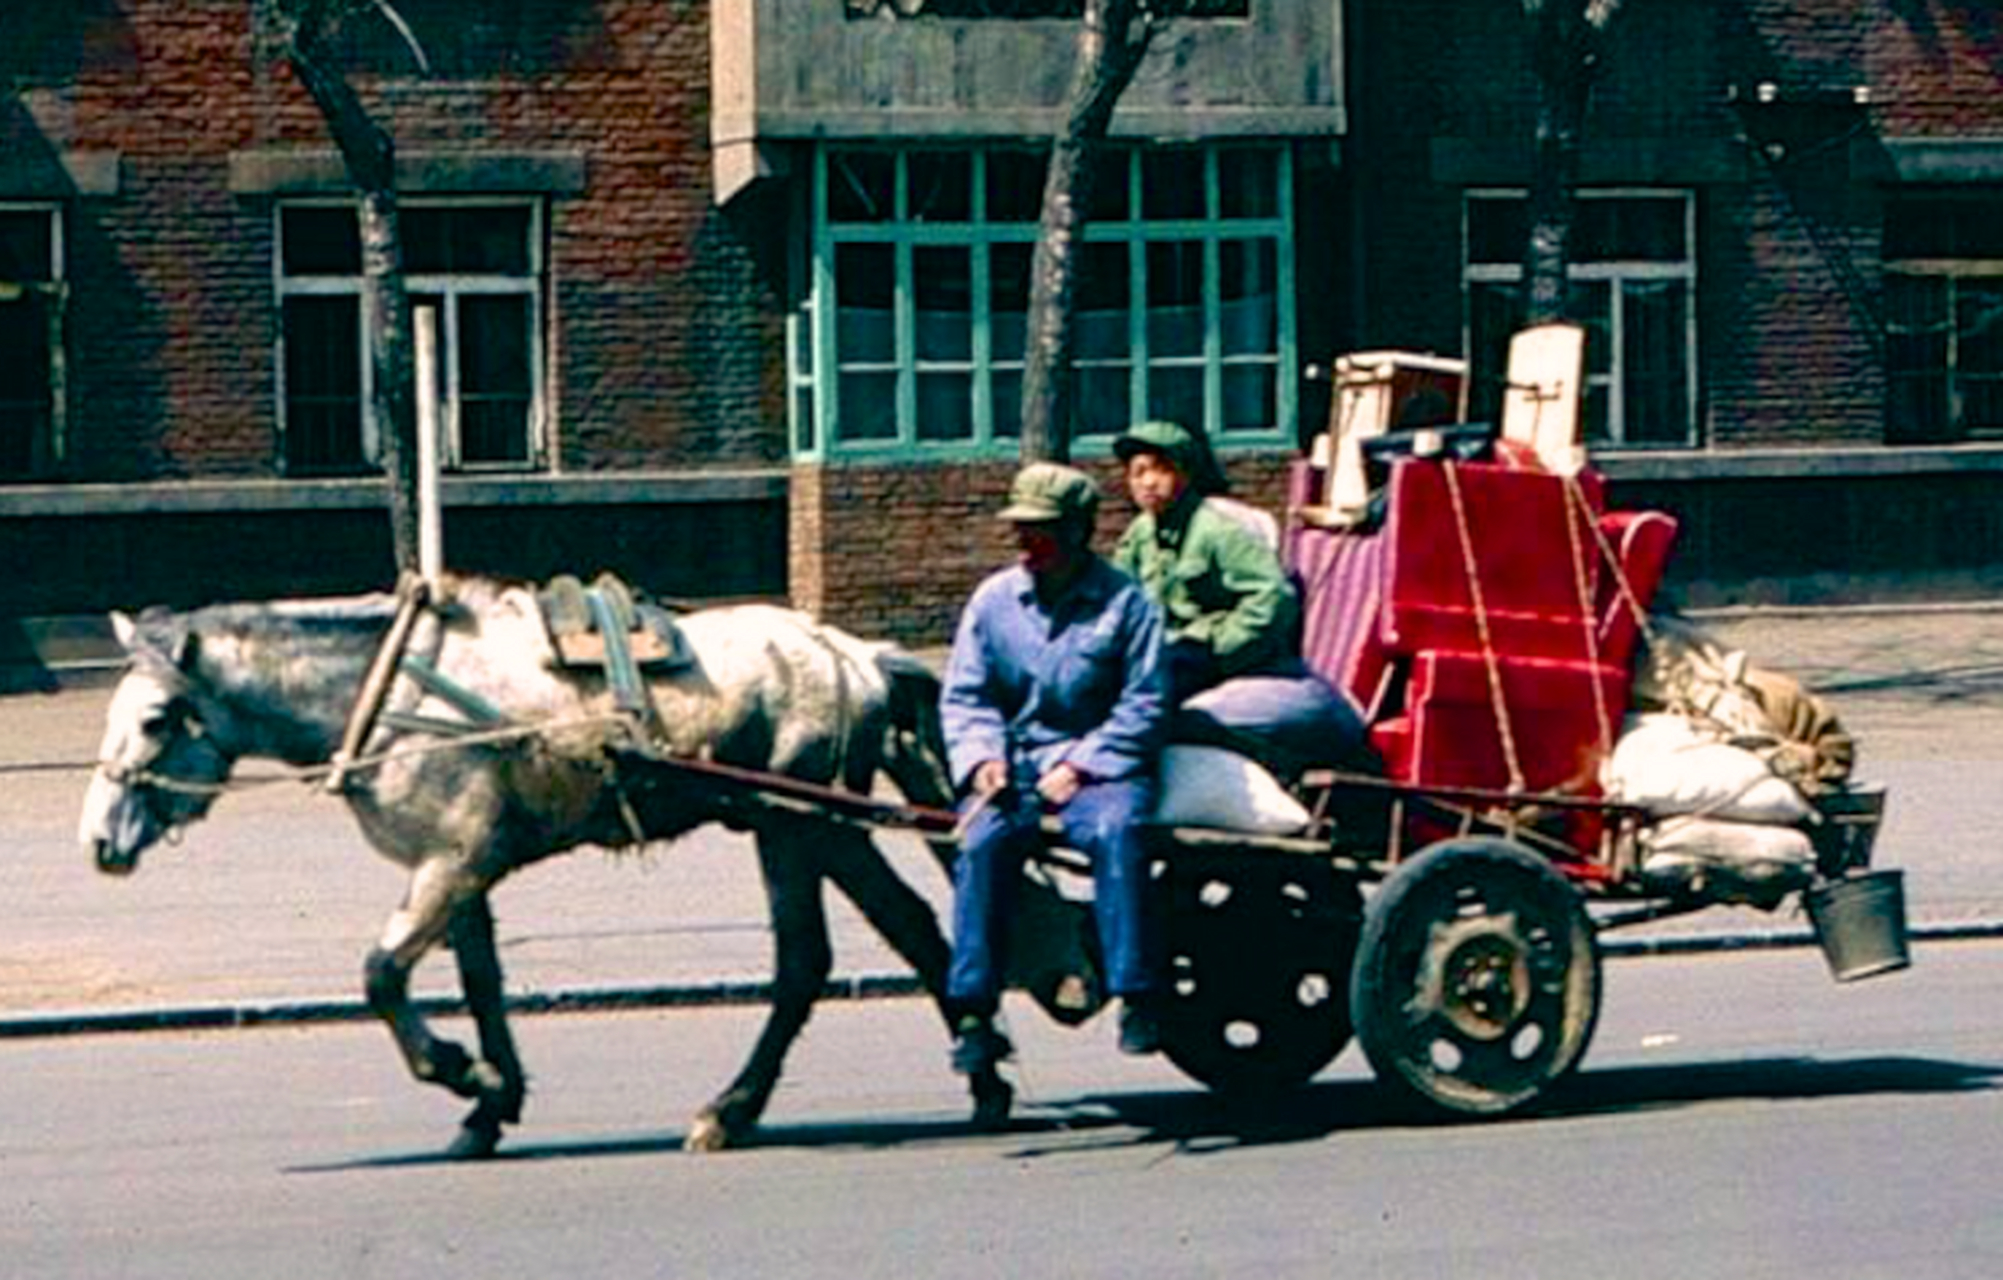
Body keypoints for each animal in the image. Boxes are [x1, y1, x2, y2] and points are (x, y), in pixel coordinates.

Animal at [78, 576, 1017, 1153]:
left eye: (156, 718)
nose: (98, 842)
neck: (394, 695)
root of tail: (853, 653)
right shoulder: (460, 870)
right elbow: (482, 982)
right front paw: (492, 1103)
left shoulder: (450, 863)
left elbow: (382, 975)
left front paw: (458, 1070)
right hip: (804, 826)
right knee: (883, 938)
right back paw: (975, 1077)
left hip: (803, 826)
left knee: (829, 956)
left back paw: (741, 1108)